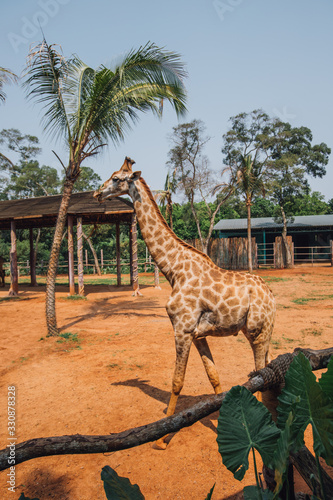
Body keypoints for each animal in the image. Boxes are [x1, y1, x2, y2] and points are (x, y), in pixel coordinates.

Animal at [93, 157, 274, 450]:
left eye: (117, 178)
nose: (97, 193)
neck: (173, 270)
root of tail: (271, 294)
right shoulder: (198, 334)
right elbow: (214, 377)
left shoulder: (182, 328)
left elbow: (177, 381)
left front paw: (162, 438)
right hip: (262, 332)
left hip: (257, 332)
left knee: (259, 373)